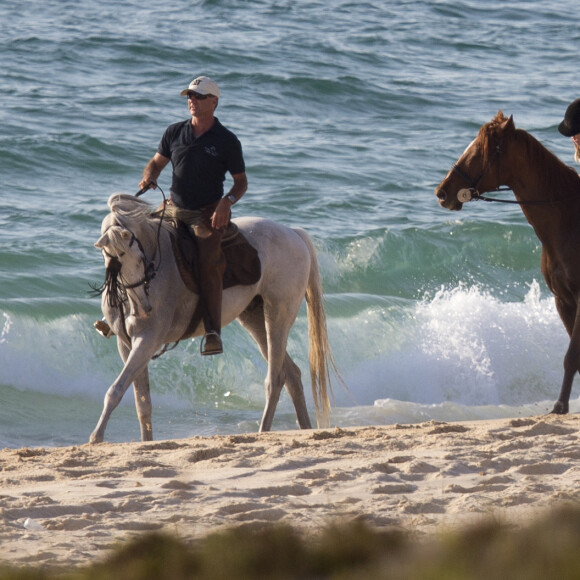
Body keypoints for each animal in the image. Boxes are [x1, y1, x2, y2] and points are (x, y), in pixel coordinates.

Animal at [90, 193, 336, 442]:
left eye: (140, 258)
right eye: (112, 262)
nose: (143, 308)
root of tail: (293, 233)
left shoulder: (147, 341)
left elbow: (116, 390)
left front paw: (96, 437)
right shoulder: (127, 344)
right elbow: (142, 403)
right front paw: (144, 441)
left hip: (277, 317)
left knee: (275, 379)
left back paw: (263, 431)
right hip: (255, 319)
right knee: (292, 375)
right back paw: (305, 427)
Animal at [438, 111, 580, 414]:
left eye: (479, 150)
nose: (442, 193)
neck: (569, 220)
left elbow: (572, 356)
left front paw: (559, 406)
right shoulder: (563, 300)